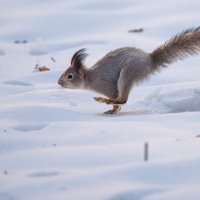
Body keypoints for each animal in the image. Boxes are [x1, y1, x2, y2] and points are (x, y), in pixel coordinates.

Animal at [57, 26, 200, 114]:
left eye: (70, 76)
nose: (59, 82)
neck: (91, 78)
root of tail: (149, 60)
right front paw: (113, 111)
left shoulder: (109, 88)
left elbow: (118, 101)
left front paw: (113, 109)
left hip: (128, 73)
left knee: (123, 99)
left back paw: (103, 100)